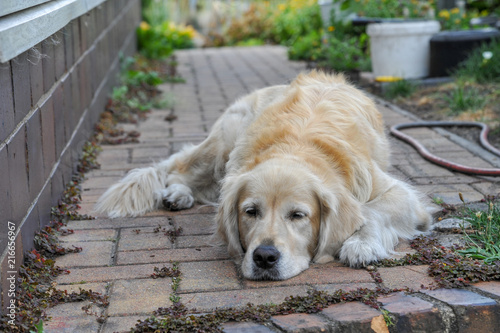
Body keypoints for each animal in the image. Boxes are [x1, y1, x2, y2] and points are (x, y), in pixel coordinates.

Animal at [95, 70, 432, 280]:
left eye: (298, 215)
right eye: (250, 212)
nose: (265, 257)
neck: (296, 146)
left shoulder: (398, 192)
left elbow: (371, 212)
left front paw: (361, 244)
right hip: (225, 139)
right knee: (179, 170)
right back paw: (177, 193)